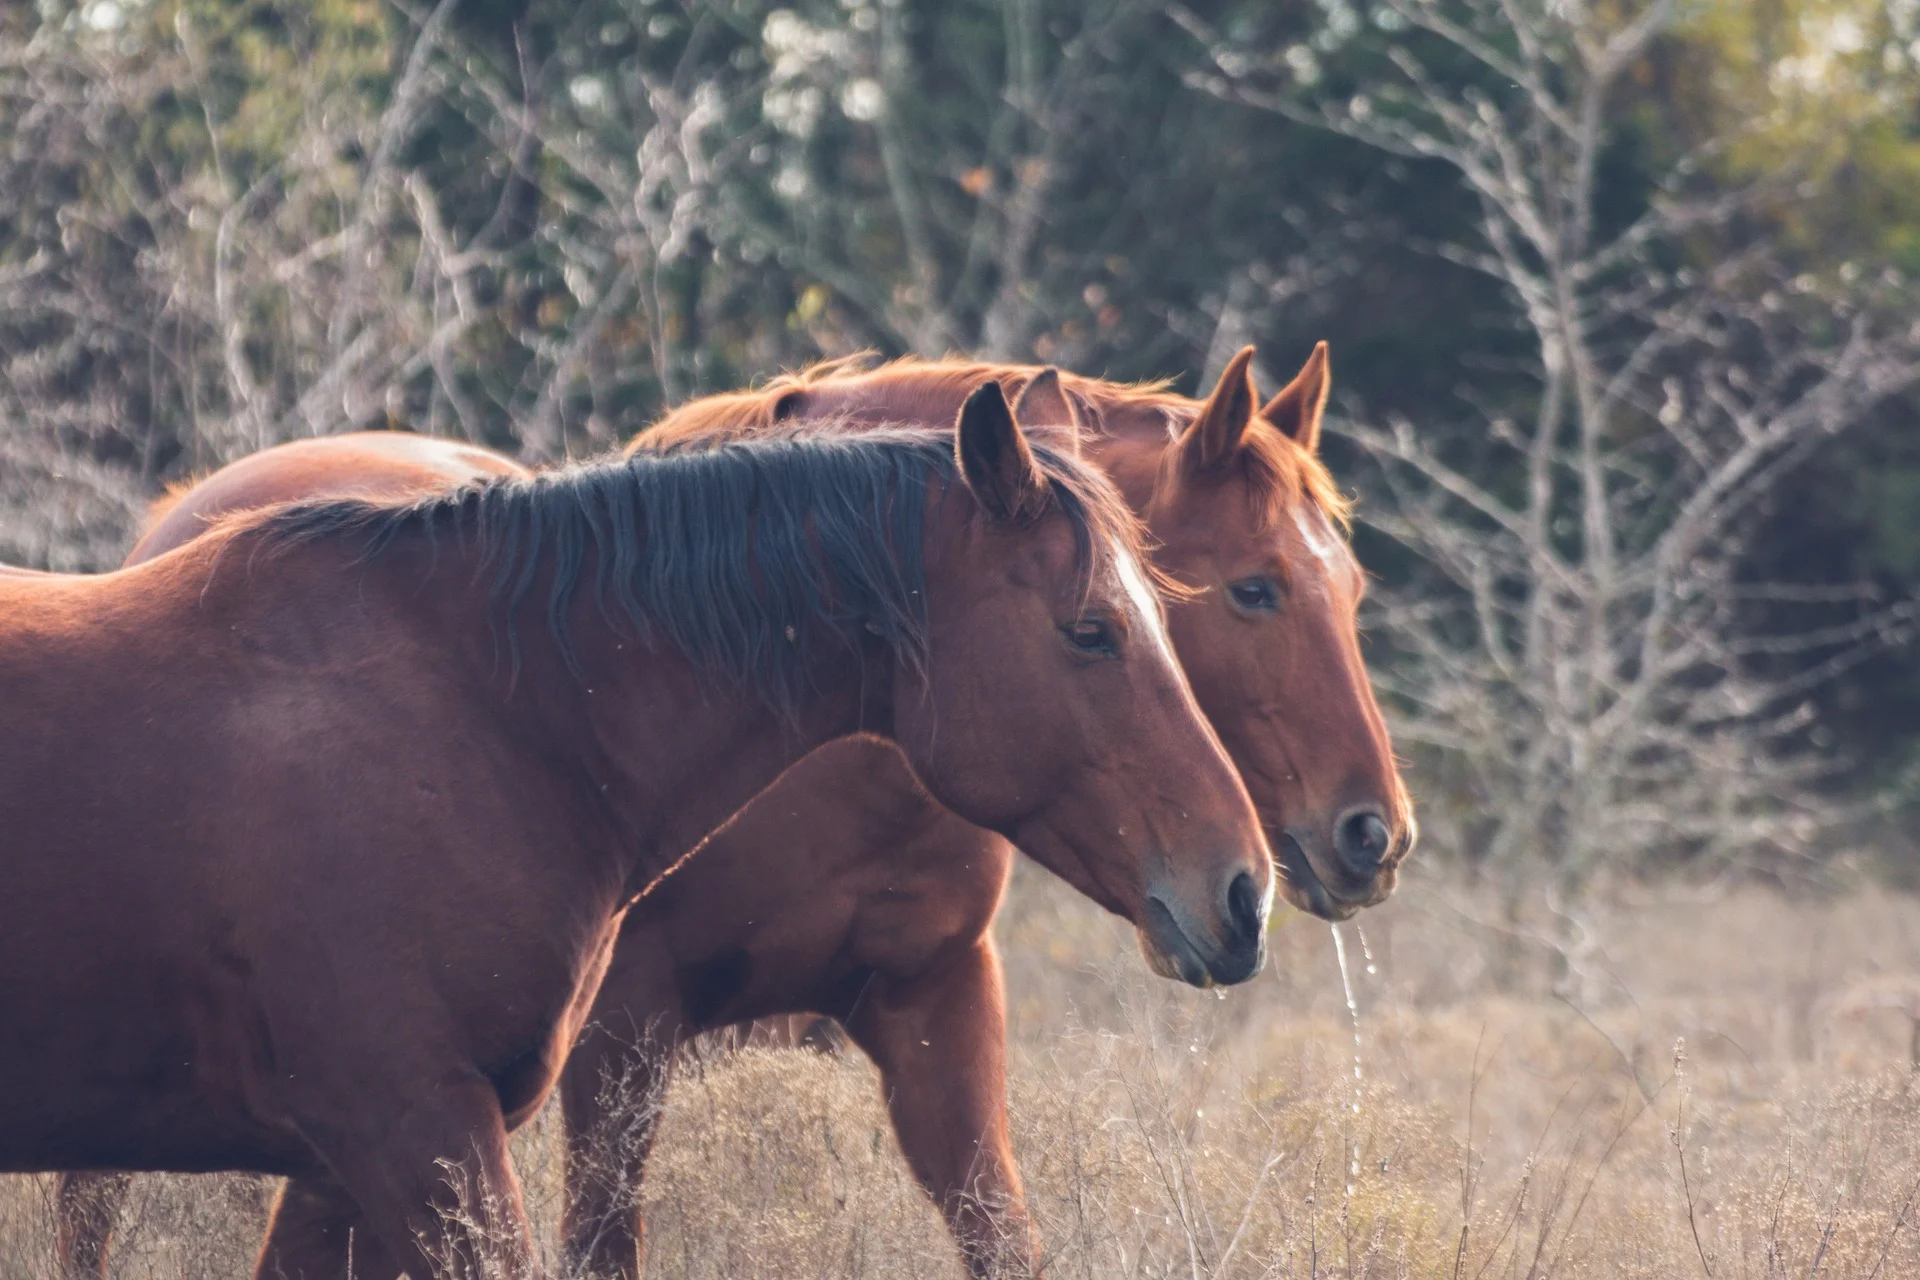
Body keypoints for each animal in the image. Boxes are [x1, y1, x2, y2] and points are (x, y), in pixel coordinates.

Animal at [61, 344, 1412, 1278]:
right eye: (1249, 589)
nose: (1373, 836)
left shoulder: (933, 1001)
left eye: (1349, 583)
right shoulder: (619, 1043)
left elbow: (998, 1229)